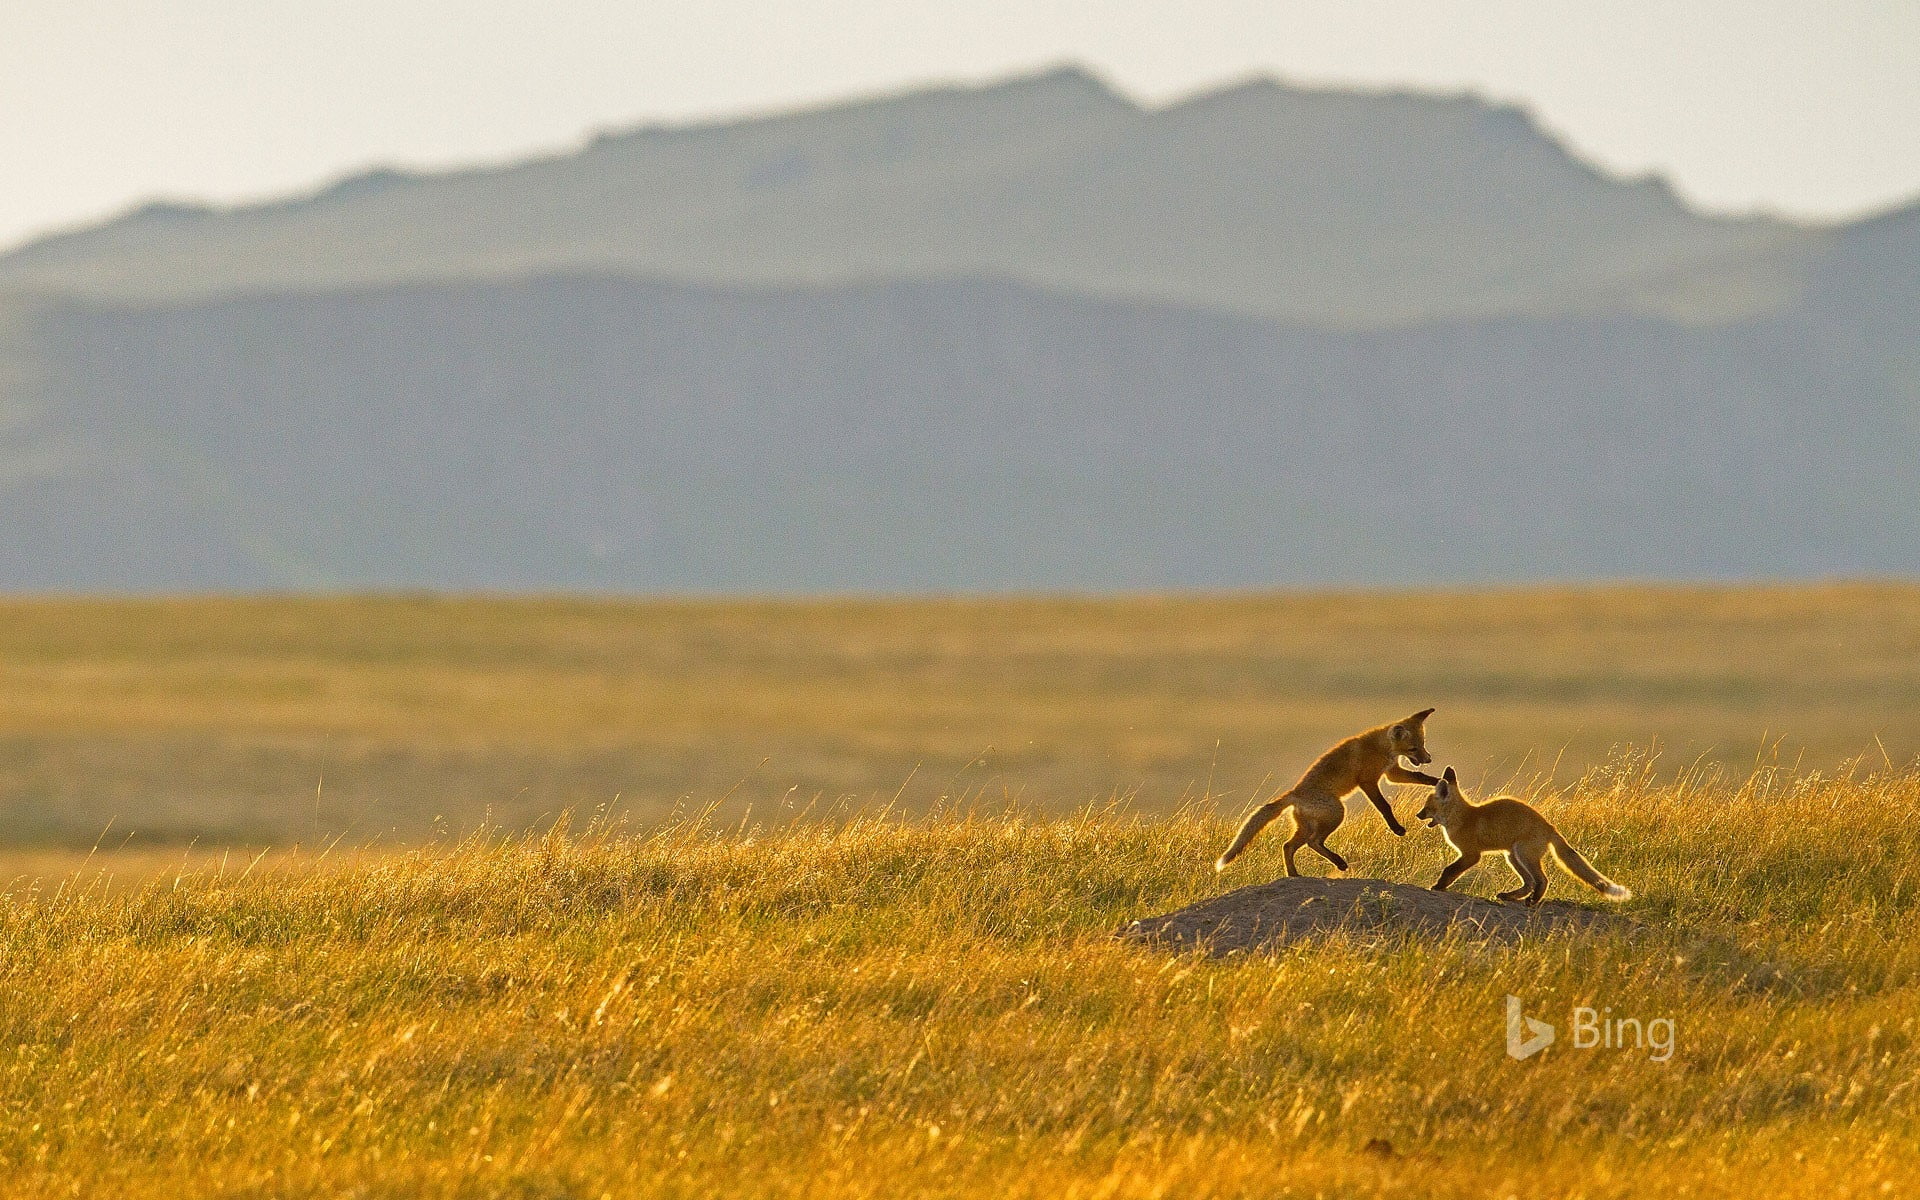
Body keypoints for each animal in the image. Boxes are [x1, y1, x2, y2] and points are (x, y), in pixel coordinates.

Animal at [1214, 709, 1439, 877]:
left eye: (1423, 744)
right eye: (1413, 749)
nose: (1428, 758)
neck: (1381, 747)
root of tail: (1295, 793)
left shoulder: (1391, 772)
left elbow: (1420, 777)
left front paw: (1438, 782)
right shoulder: (1368, 780)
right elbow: (1384, 806)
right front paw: (1396, 828)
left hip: (1307, 826)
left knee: (1288, 846)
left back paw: (1294, 874)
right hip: (1336, 813)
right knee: (1313, 842)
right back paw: (1338, 863)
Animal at [1415, 767, 1631, 905]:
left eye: (1427, 808)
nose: (1418, 815)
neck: (1464, 817)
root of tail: (1549, 826)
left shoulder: (1471, 854)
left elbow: (1450, 870)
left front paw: (1439, 886)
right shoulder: (1471, 854)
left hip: (1523, 854)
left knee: (1541, 880)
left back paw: (1532, 901)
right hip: (1512, 857)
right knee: (1529, 883)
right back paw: (1511, 897)